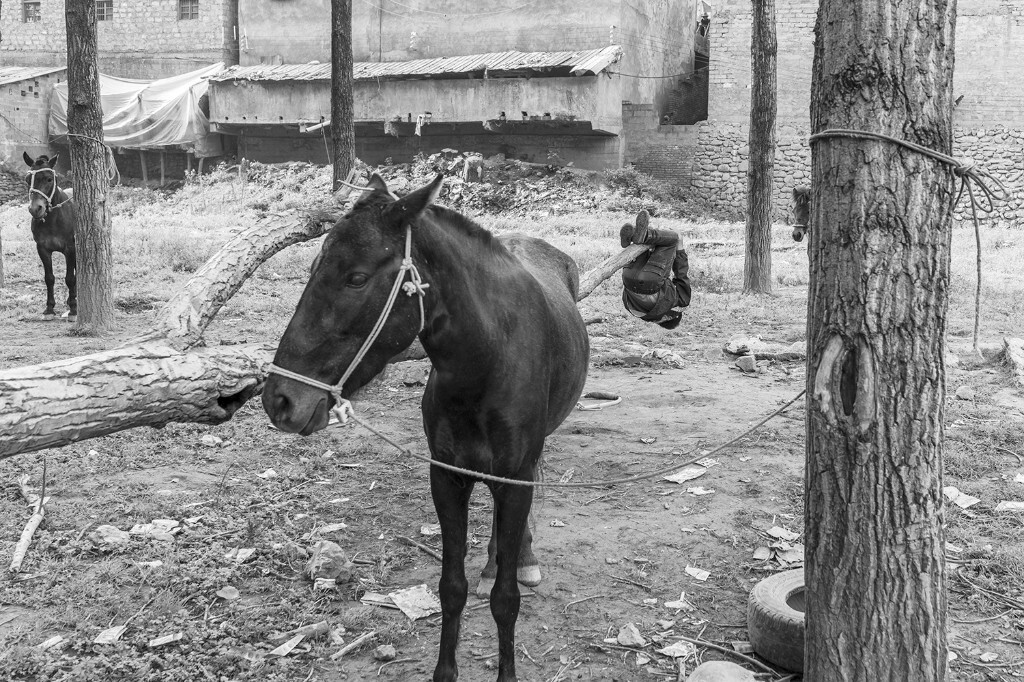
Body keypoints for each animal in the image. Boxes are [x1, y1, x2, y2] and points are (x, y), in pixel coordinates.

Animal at [23, 151, 76, 319]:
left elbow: (70, 278)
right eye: (28, 180)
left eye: (49, 179)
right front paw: (49, 309)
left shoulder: (70, 249)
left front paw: (73, 310)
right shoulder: (42, 249)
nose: (35, 209)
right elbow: (49, 278)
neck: (54, 218)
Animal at [260, 173, 589, 675]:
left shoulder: (512, 478)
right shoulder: (446, 476)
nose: (279, 400)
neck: (486, 362)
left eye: (356, 277)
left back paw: (523, 558)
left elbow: (506, 600)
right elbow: (451, 589)